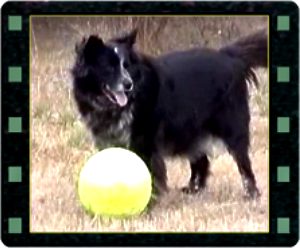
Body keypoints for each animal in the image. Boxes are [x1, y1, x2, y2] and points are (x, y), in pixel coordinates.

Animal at [72, 28, 268, 198]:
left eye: (126, 66)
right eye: (109, 68)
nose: (128, 84)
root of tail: (229, 56)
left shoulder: (145, 139)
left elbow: (149, 169)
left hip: (230, 123)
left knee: (242, 159)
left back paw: (251, 193)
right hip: (191, 128)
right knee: (201, 159)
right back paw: (193, 189)